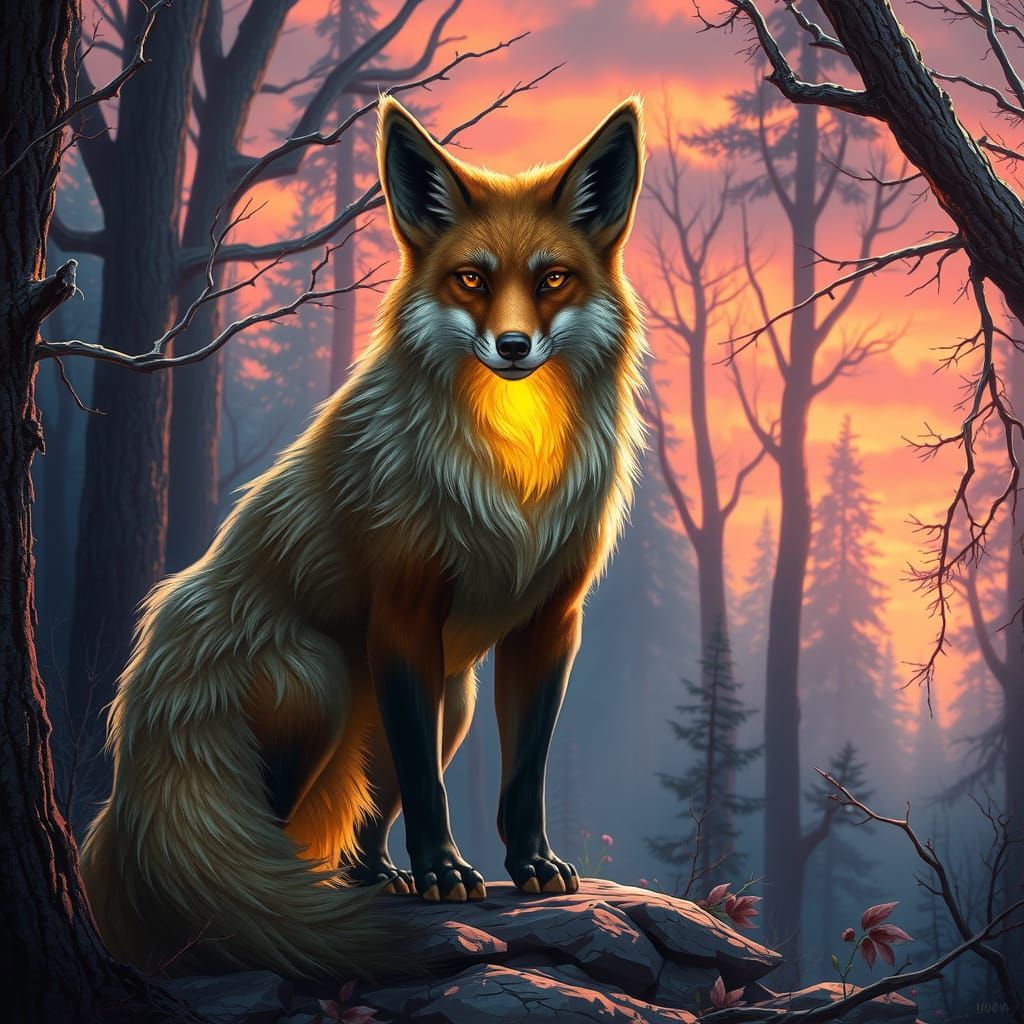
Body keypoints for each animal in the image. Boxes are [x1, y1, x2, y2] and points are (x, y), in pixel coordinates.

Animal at [80, 94, 647, 981]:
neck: (513, 479)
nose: (512, 347)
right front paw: (445, 870)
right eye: (471, 279)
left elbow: (523, 771)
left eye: (552, 279)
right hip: (320, 678)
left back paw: (374, 877)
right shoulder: (405, 614)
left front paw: (529, 865)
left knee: (359, 824)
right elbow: (424, 785)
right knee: (258, 856)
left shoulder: (550, 622)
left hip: (448, 693)